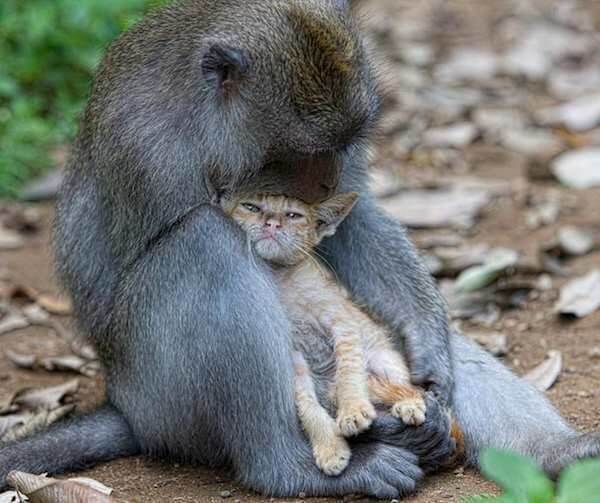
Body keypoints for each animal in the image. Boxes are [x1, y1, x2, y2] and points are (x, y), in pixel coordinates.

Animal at [220, 192, 426, 476]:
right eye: (251, 207)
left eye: (293, 215)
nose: (271, 223)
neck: (282, 278)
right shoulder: (293, 356)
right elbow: (307, 407)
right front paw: (330, 447)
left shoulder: (343, 324)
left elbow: (348, 372)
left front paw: (353, 410)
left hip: (383, 360)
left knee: (409, 387)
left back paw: (409, 403)